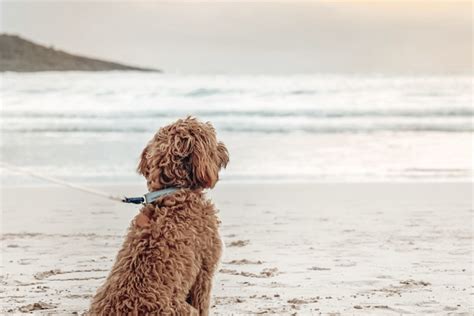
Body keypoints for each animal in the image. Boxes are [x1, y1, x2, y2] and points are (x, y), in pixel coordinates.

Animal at [90, 117, 230, 314]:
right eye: (212, 138)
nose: (224, 148)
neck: (172, 193)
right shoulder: (205, 270)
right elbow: (203, 304)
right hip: (184, 309)